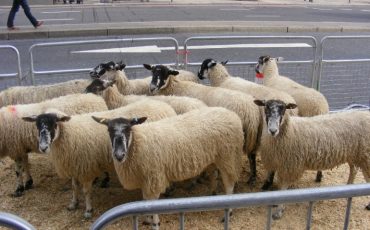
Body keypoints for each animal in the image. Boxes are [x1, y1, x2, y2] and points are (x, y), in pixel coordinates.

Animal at [22, 99, 176, 219]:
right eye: (36, 126)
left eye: (54, 124)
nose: (43, 147)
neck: (69, 133)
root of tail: (163, 104)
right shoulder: (74, 165)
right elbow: (74, 186)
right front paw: (73, 203)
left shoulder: (84, 167)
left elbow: (86, 191)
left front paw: (88, 210)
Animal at [92, 107, 244, 229]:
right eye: (109, 131)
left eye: (129, 130)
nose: (119, 155)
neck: (137, 143)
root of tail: (232, 114)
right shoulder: (145, 178)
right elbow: (145, 199)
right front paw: (147, 218)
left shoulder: (153, 177)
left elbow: (152, 201)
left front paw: (155, 223)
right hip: (215, 158)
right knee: (214, 175)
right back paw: (212, 195)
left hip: (228, 156)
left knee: (229, 184)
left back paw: (228, 212)